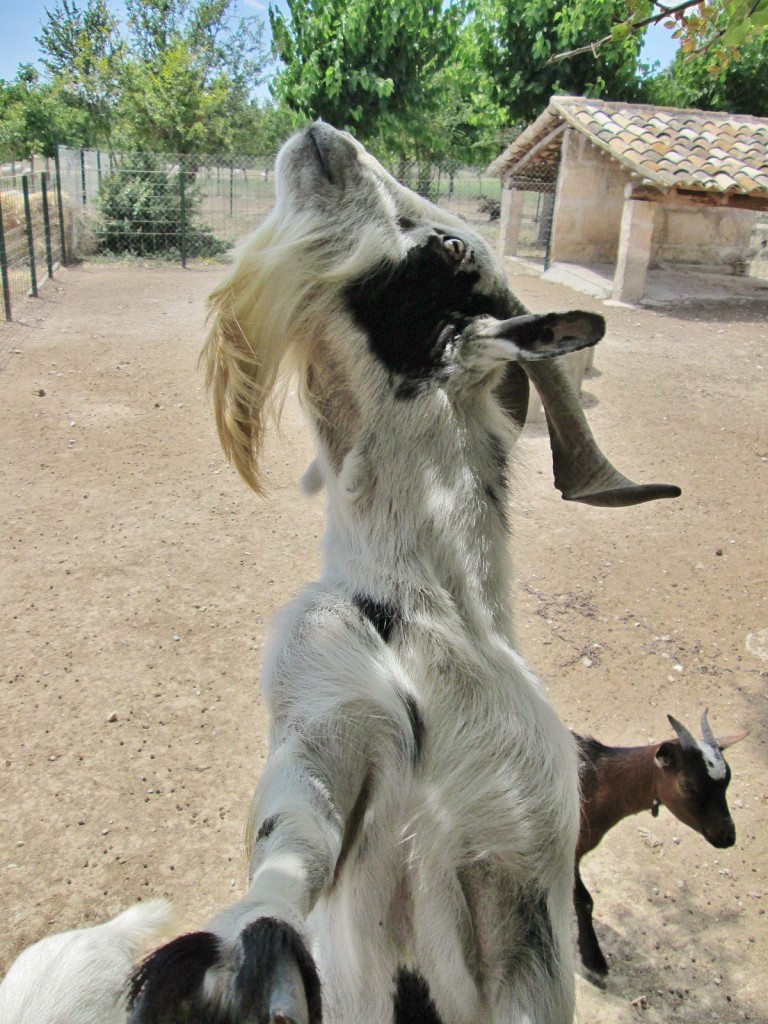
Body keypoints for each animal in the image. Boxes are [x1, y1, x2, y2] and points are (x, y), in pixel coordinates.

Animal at [129, 121, 684, 1024]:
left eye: (451, 245)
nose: (323, 134)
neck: (428, 619)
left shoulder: (522, 877)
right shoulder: (326, 709)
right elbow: (295, 842)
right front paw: (240, 959)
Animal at [577, 712, 745, 974]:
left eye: (728, 780)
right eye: (687, 784)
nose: (727, 836)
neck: (596, 781)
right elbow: (584, 901)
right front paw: (594, 961)